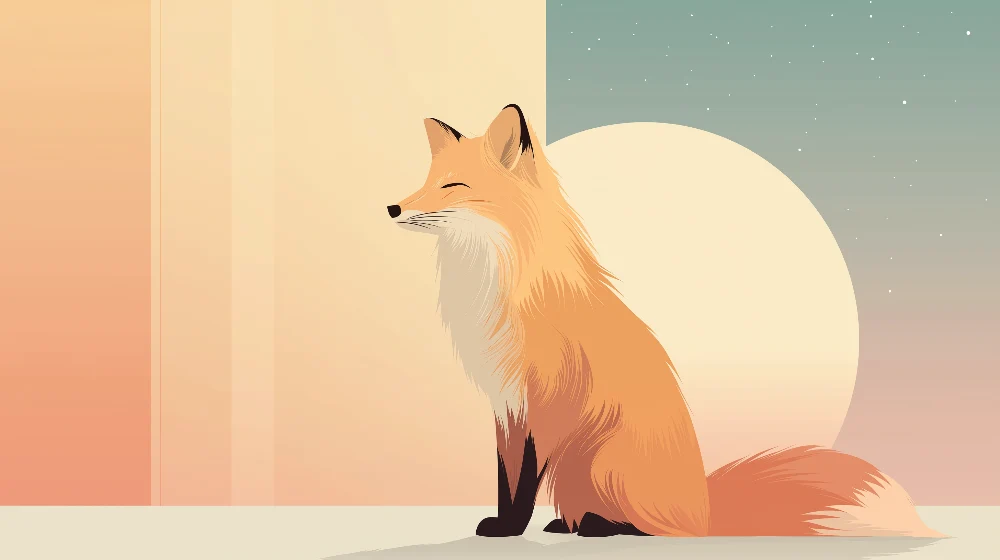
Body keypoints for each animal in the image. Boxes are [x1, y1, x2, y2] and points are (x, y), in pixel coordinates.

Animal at [387, 104, 942, 539]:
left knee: (652, 526)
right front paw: (503, 523)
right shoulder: (506, 404)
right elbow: (505, 479)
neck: (499, 280)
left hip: (599, 461)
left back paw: (601, 527)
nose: (392, 207)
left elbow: (523, 483)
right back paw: (567, 524)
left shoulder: (543, 401)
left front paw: (509, 531)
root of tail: (703, 508)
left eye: (453, 186)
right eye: (424, 184)